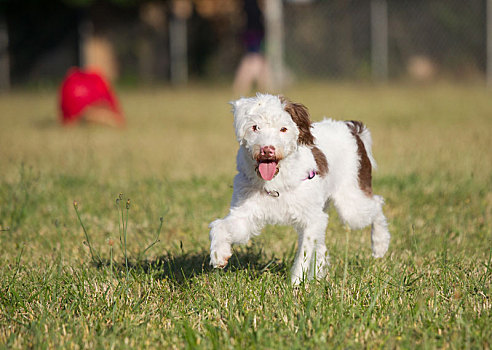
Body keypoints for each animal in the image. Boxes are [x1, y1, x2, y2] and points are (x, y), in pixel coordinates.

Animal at [209, 93, 390, 284]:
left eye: (283, 129)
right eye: (255, 127)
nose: (267, 150)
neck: (276, 182)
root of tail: (352, 128)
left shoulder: (310, 218)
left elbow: (303, 255)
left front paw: (295, 285)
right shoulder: (247, 212)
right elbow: (221, 225)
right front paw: (219, 254)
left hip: (351, 203)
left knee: (377, 204)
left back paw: (379, 245)